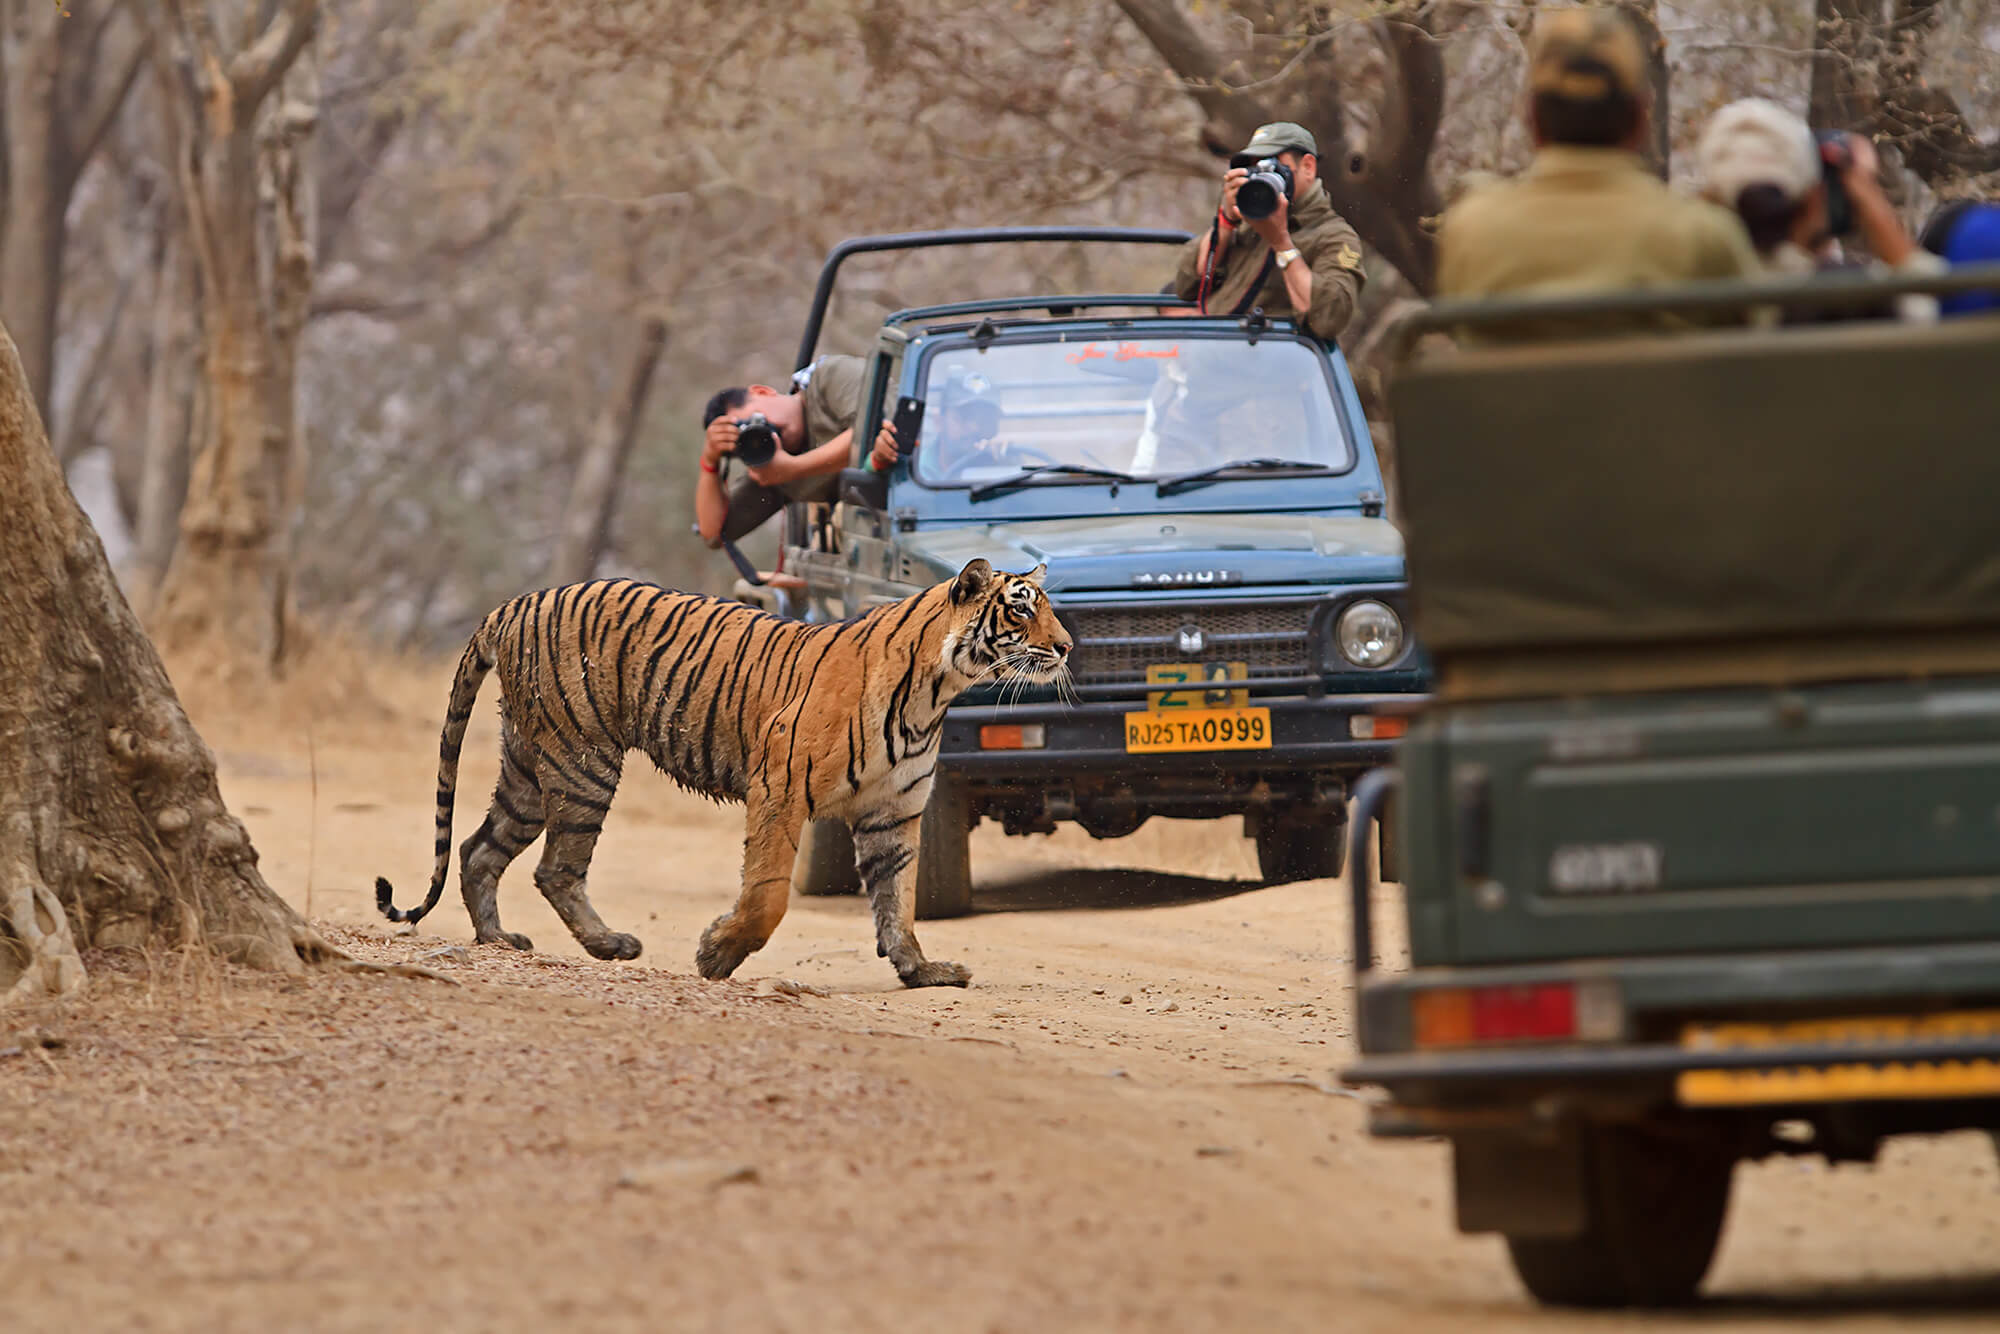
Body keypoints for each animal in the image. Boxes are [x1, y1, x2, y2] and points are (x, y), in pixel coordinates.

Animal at [372, 560, 1064, 988]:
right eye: (1020, 613)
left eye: (1050, 611)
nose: (1066, 647)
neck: (936, 693)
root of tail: (513, 604)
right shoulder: (780, 787)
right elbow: (768, 895)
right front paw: (715, 954)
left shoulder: (892, 812)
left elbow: (898, 899)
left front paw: (921, 970)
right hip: (582, 761)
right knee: (554, 868)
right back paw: (610, 945)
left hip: (528, 767)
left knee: (478, 849)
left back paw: (497, 940)